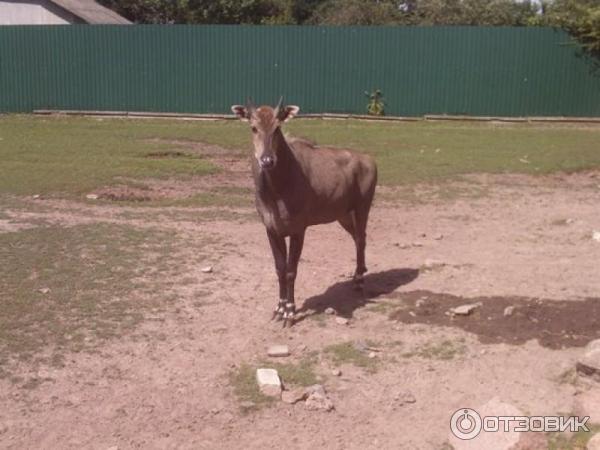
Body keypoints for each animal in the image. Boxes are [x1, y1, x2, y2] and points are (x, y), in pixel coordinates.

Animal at [232, 98, 378, 326]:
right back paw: (357, 275)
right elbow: (280, 268)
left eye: (277, 127)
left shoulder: (298, 229)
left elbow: (291, 270)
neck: (277, 191)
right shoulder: (271, 229)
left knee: (362, 238)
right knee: (356, 237)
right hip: (343, 214)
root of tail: (370, 161)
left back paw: (359, 282)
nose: (267, 160)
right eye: (253, 127)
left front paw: (290, 312)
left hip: (363, 205)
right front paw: (278, 309)